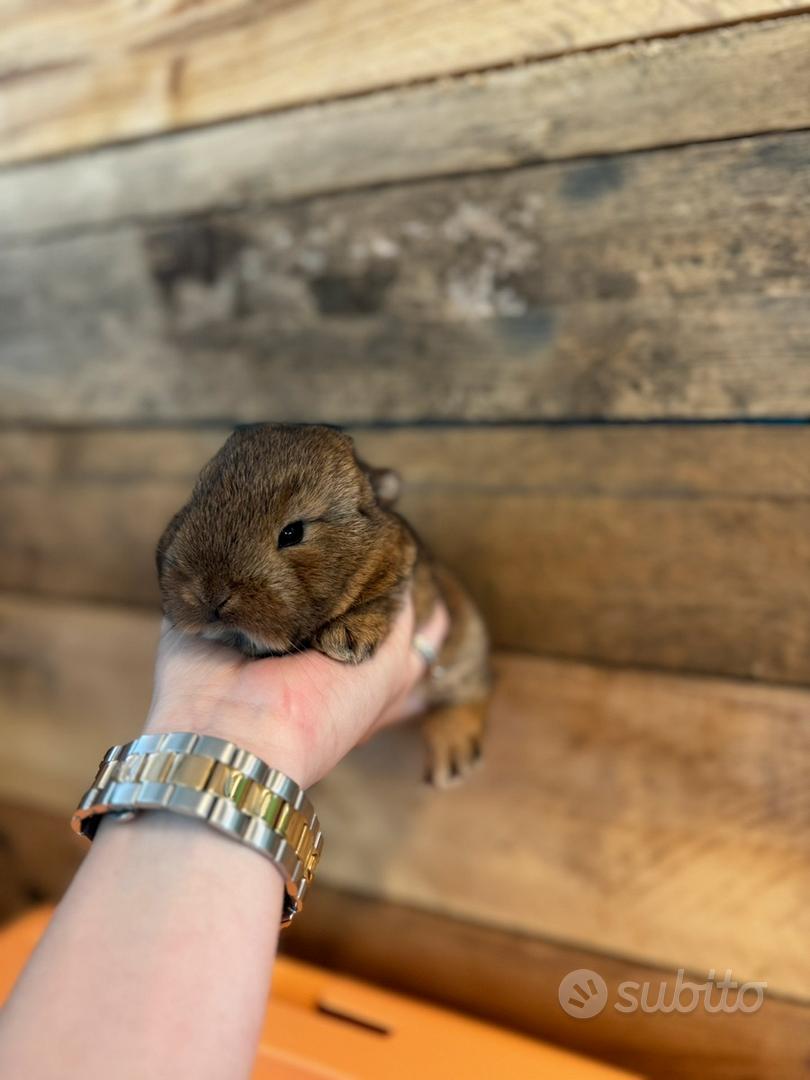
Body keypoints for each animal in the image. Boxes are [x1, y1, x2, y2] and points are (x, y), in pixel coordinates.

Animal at [156, 421, 492, 786]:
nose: (210, 595)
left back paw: (452, 755)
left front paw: (347, 639)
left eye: (293, 532)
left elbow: (385, 597)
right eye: (193, 503)